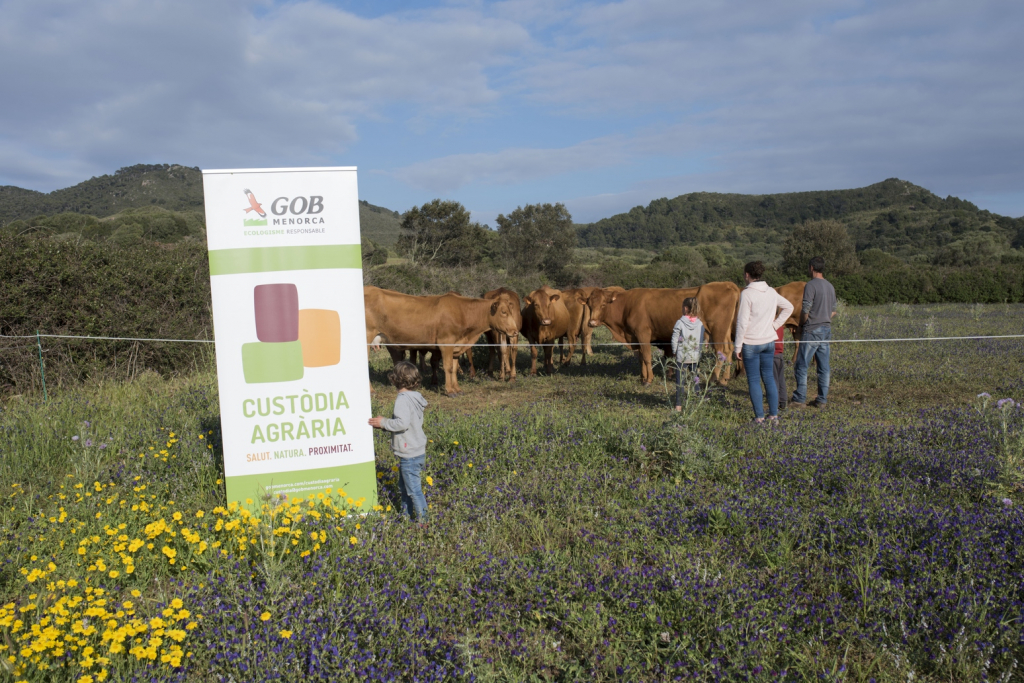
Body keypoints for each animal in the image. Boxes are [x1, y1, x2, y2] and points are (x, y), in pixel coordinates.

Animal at [362, 286, 520, 395]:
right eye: (503, 312)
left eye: (512, 311)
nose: (515, 331)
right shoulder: (446, 343)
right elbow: (448, 367)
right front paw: (449, 391)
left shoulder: (456, 345)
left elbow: (454, 368)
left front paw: (457, 389)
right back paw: (371, 391)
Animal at [585, 282, 745, 387]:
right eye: (590, 306)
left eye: (603, 305)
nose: (592, 322)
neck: (627, 305)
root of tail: (727, 284)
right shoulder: (635, 337)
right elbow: (641, 358)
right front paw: (642, 378)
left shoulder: (643, 333)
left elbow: (647, 357)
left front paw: (648, 380)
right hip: (721, 333)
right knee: (728, 351)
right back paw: (723, 379)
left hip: (717, 331)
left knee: (721, 352)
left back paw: (713, 379)